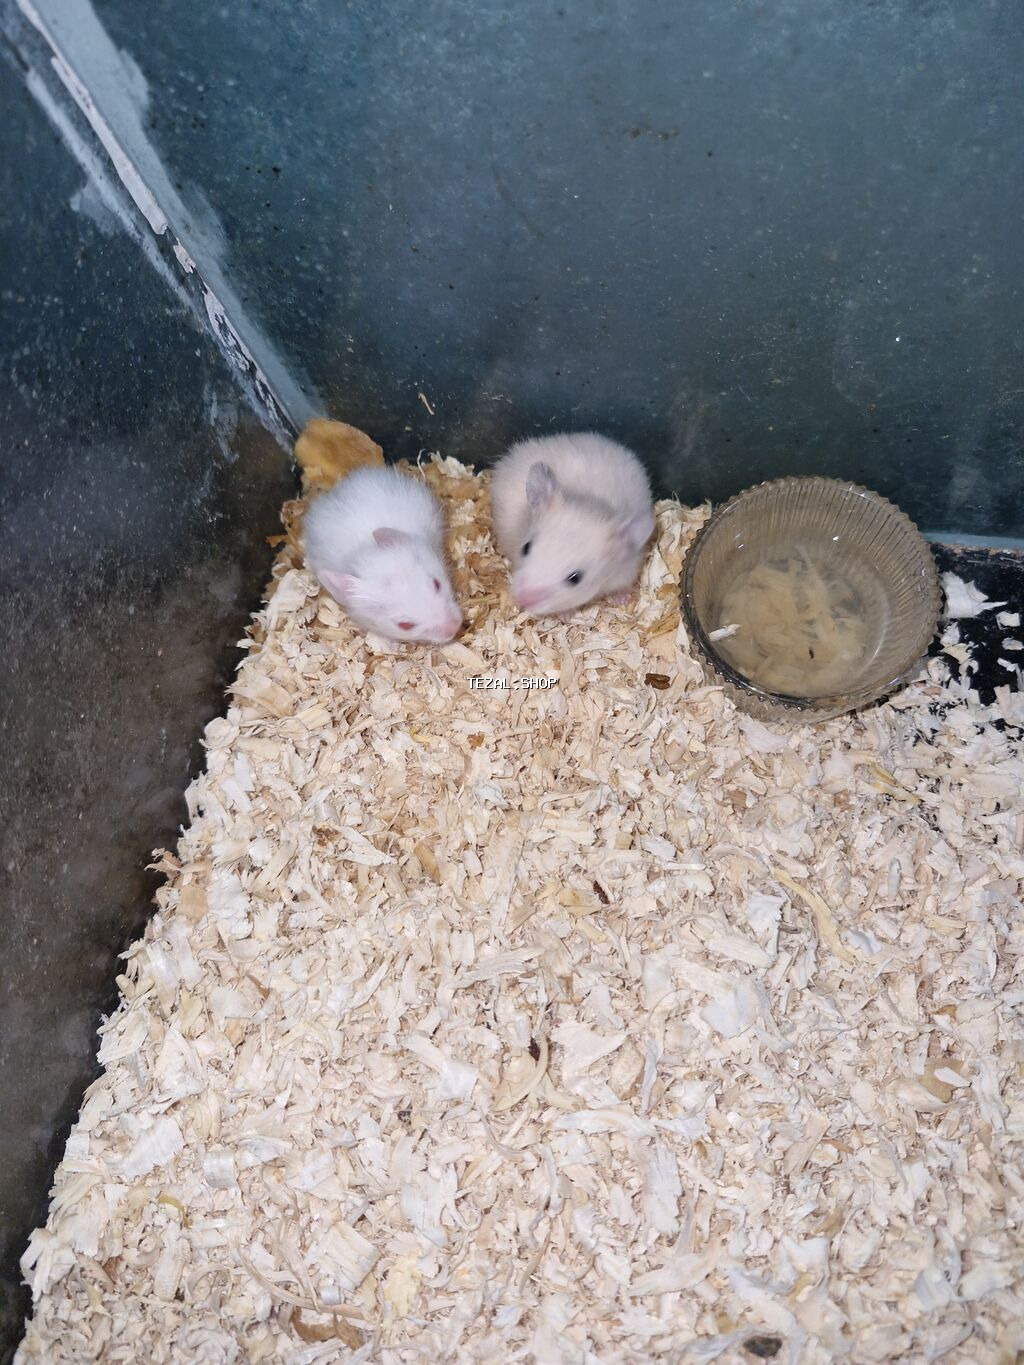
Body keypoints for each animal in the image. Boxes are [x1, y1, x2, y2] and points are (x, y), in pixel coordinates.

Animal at [488, 432, 656, 616]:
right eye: (525, 548)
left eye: (575, 578)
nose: (521, 600)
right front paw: (565, 615)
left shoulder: (626, 571)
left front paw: (622, 599)